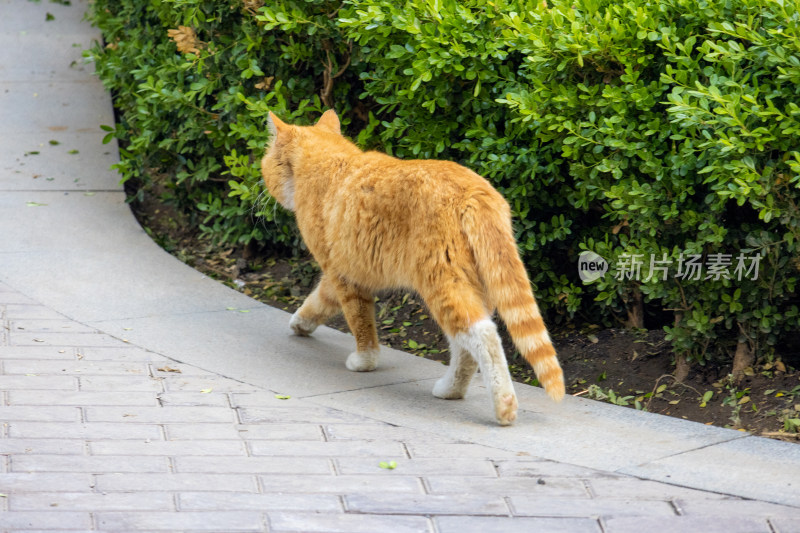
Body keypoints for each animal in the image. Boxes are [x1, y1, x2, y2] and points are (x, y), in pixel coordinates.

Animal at [262, 109, 564, 424]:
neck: (331, 160)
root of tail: (474, 192)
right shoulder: (346, 272)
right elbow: (319, 301)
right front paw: (300, 323)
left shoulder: (344, 276)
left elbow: (359, 321)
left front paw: (364, 361)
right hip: (473, 284)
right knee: (465, 345)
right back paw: (451, 390)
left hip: (441, 283)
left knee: (483, 335)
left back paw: (504, 406)